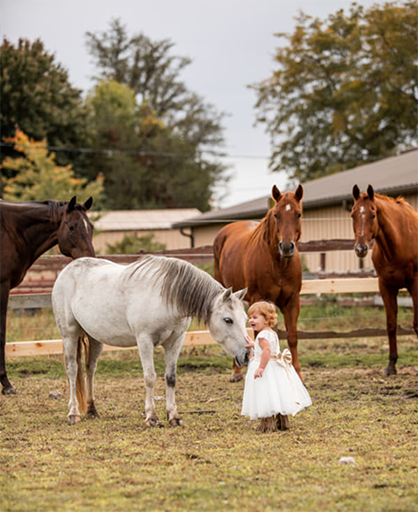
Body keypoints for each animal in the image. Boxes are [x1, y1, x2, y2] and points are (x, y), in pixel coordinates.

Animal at [0, 198, 95, 394]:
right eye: (71, 227)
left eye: (91, 227)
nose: (91, 259)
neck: (10, 230)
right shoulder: (2, 286)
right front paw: (6, 384)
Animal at [51, 258, 248, 426]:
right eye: (228, 320)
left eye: (245, 318)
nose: (246, 354)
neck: (166, 297)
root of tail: (66, 270)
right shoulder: (144, 340)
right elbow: (150, 377)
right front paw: (152, 417)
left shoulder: (176, 341)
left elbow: (171, 378)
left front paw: (174, 417)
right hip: (69, 334)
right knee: (72, 369)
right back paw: (73, 413)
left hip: (95, 339)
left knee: (90, 369)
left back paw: (92, 410)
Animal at [214, 184, 302, 380]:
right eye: (276, 214)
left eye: (298, 214)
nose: (286, 247)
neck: (279, 265)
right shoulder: (258, 298)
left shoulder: (292, 301)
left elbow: (292, 337)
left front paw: (299, 376)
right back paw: (236, 372)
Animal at [352, 184, 418, 376]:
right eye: (352, 214)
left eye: (373, 214)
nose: (360, 249)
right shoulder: (386, 286)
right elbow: (391, 325)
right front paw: (391, 365)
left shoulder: (415, 285)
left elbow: (417, 324)